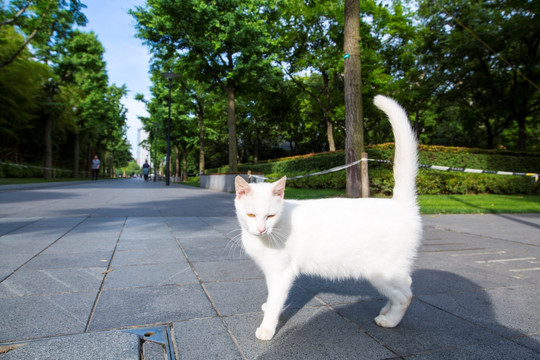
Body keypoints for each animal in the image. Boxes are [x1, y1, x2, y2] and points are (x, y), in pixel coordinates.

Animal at [235, 95, 422, 340]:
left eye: (270, 216)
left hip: (382, 271)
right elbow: (270, 294)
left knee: (406, 294)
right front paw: (267, 307)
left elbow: (276, 300)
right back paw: (385, 311)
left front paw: (267, 327)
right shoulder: (270, 271)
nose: (260, 229)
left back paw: (389, 320)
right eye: (250, 214)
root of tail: (399, 204)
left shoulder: (282, 272)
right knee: (406, 285)